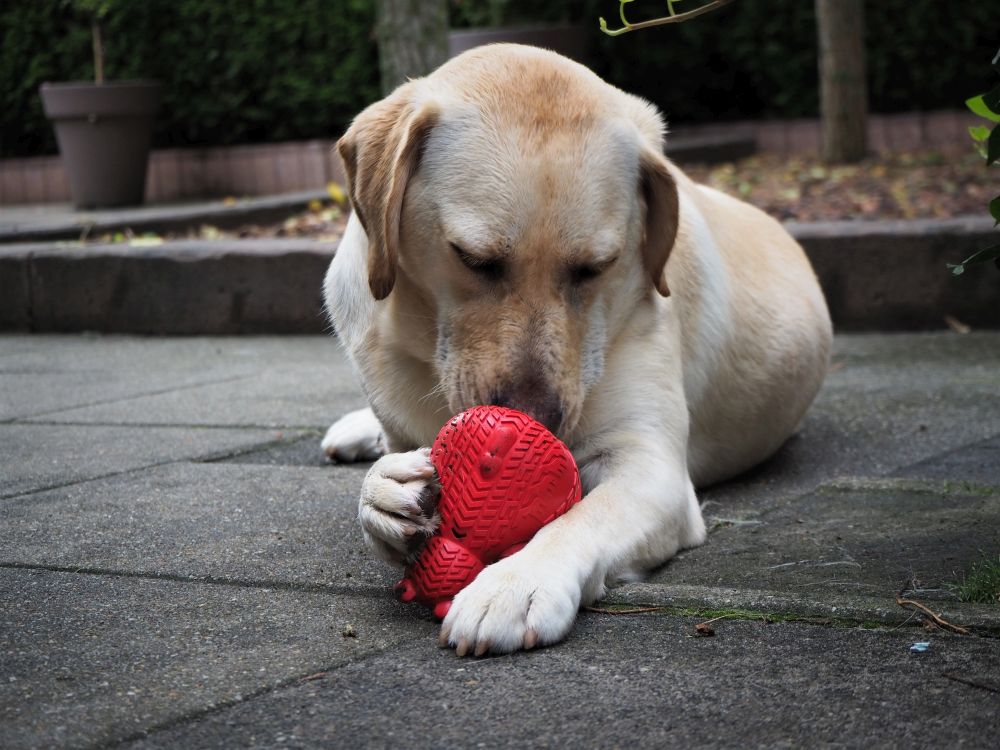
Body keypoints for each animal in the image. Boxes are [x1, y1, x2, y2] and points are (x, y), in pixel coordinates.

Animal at [324, 45, 832, 656]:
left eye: (596, 268)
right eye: (474, 259)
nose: (537, 422)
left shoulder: (651, 468)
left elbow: (577, 519)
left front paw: (517, 582)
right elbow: (382, 480)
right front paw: (384, 492)